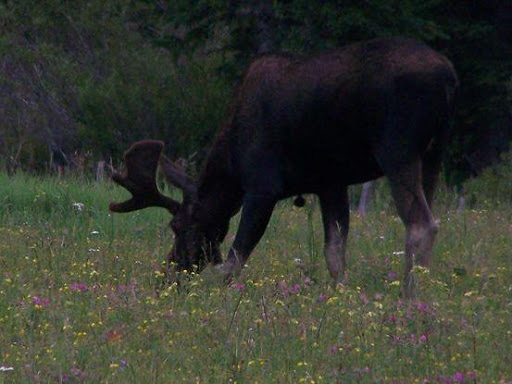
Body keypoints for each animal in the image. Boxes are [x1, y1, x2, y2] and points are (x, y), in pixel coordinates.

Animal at [110, 37, 458, 298]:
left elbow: (235, 258)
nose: (168, 276)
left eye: (177, 226)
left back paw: (409, 296)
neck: (231, 168)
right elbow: (334, 253)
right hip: (433, 156)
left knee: (422, 224)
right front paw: (341, 297)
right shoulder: (330, 183)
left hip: (397, 152)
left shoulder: (263, 186)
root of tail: (447, 75)